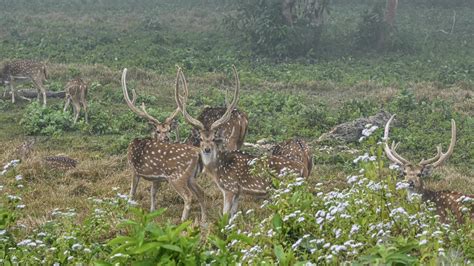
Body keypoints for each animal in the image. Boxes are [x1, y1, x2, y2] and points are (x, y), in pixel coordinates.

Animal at [121, 67, 206, 222]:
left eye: (169, 130)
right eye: (158, 130)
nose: (166, 138)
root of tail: (198, 153)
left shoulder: (134, 169)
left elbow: (132, 192)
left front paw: (128, 210)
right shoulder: (156, 178)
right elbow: (153, 193)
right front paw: (152, 211)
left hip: (177, 176)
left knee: (188, 197)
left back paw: (182, 221)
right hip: (191, 177)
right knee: (201, 193)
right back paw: (203, 220)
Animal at [175, 66, 308, 216]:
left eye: (214, 138)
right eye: (201, 139)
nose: (207, 149)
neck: (217, 170)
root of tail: (304, 170)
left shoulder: (230, 187)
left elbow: (225, 214)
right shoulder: (238, 192)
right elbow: (233, 214)